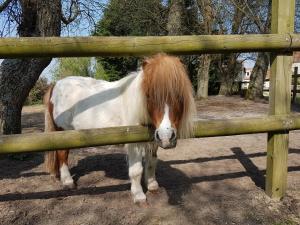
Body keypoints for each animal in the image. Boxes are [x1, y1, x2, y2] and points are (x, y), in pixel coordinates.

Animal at [43, 53, 196, 203]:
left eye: (179, 95)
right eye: (149, 95)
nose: (166, 136)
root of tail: (55, 84)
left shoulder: (153, 141)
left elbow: (151, 163)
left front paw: (152, 185)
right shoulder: (134, 143)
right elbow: (136, 170)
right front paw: (138, 195)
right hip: (63, 132)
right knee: (62, 154)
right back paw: (67, 182)